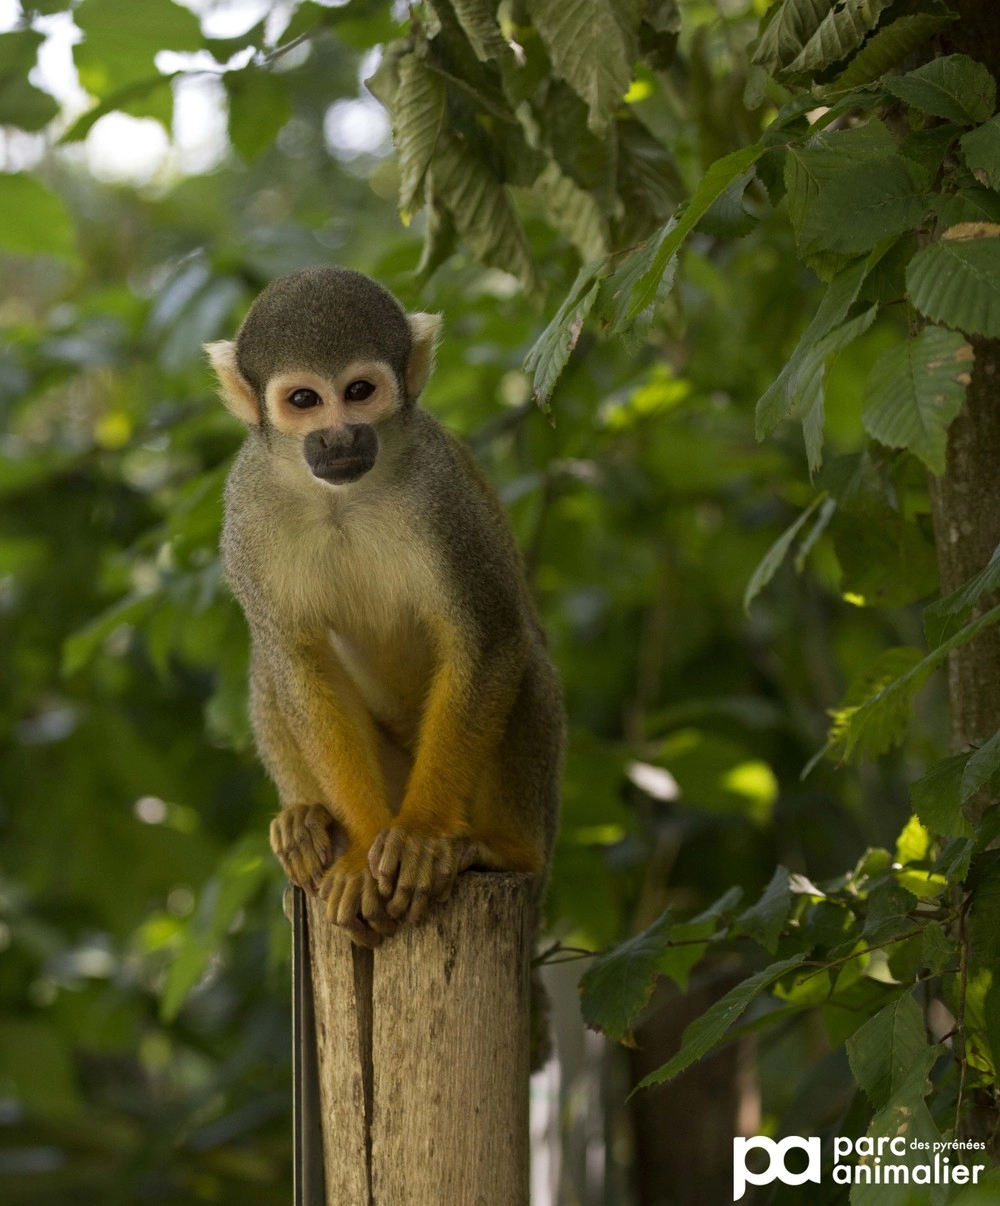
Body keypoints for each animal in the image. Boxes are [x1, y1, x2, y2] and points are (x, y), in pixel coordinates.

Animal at [205, 266, 562, 950]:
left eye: (359, 391)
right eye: (305, 400)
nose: (339, 436)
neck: (340, 497)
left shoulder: (441, 496)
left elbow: (488, 639)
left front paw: (419, 838)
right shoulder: (246, 512)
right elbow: (297, 662)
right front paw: (361, 851)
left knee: (523, 652)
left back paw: (504, 850)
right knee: (270, 663)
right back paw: (307, 825)